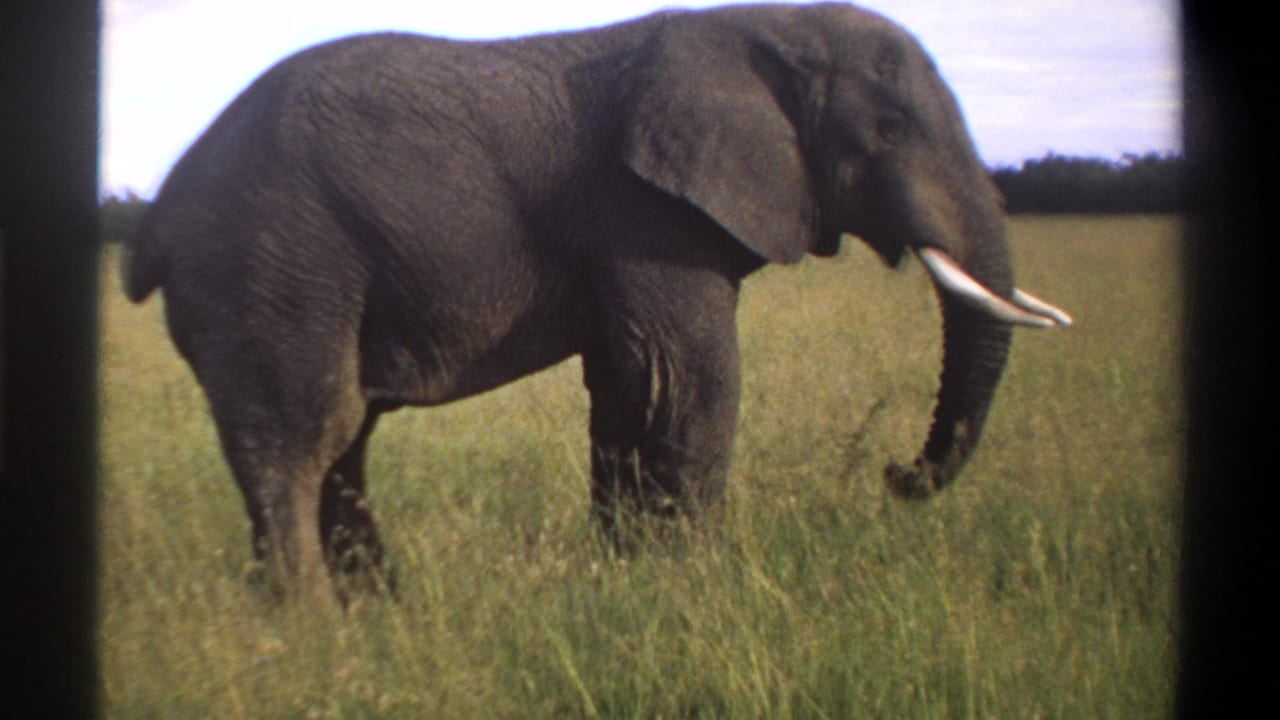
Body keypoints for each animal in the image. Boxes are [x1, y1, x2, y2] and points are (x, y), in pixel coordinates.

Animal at [122, 2, 1070, 601]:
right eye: (890, 130)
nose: (895, 474)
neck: (764, 25)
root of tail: (158, 212)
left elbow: (627, 388)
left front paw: (626, 579)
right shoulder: (645, 208)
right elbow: (690, 380)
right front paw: (695, 591)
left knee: (341, 447)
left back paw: (378, 614)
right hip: (270, 264)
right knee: (301, 436)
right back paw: (314, 630)